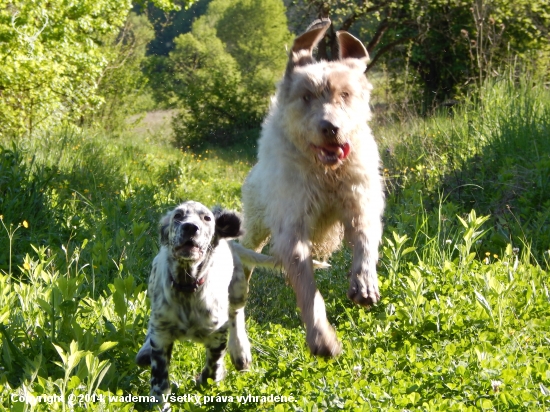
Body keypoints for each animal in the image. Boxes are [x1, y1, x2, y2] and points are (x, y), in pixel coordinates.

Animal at [136, 201, 278, 404]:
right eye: (178, 216)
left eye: (207, 218)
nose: (190, 227)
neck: (188, 286)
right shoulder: (162, 337)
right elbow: (159, 380)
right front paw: (159, 401)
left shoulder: (217, 333)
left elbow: (213, 368)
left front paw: (206, 381)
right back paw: (145, 349)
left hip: (238, 286)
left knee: (236, 313)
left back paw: (240, 351)